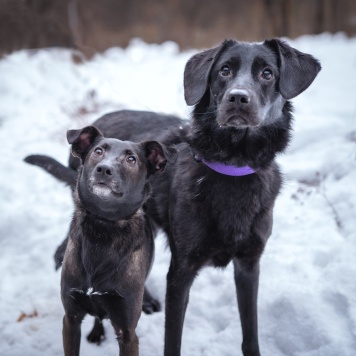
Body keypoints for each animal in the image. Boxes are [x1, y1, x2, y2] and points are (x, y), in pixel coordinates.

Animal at [57, 124, 176, 354]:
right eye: (98, 151)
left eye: (131, 159)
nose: (104, 169)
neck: (102, 229)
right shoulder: (71, 319)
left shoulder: (127, 331)